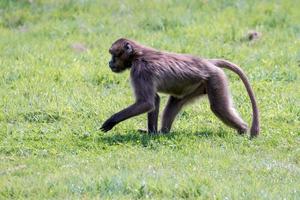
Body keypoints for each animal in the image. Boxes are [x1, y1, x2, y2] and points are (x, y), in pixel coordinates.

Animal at [99, 37, 258, 138]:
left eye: (113, 55)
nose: (109, 63)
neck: (138, 54)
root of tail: (207, 62)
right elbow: (154, 100)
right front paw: (151, 134)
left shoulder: (140, 71)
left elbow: (146, 103)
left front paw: (111, 121)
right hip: (196, 86)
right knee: (173, 104)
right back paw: (163, 133)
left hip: (215, 79)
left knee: (218, 108)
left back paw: (243, 130)